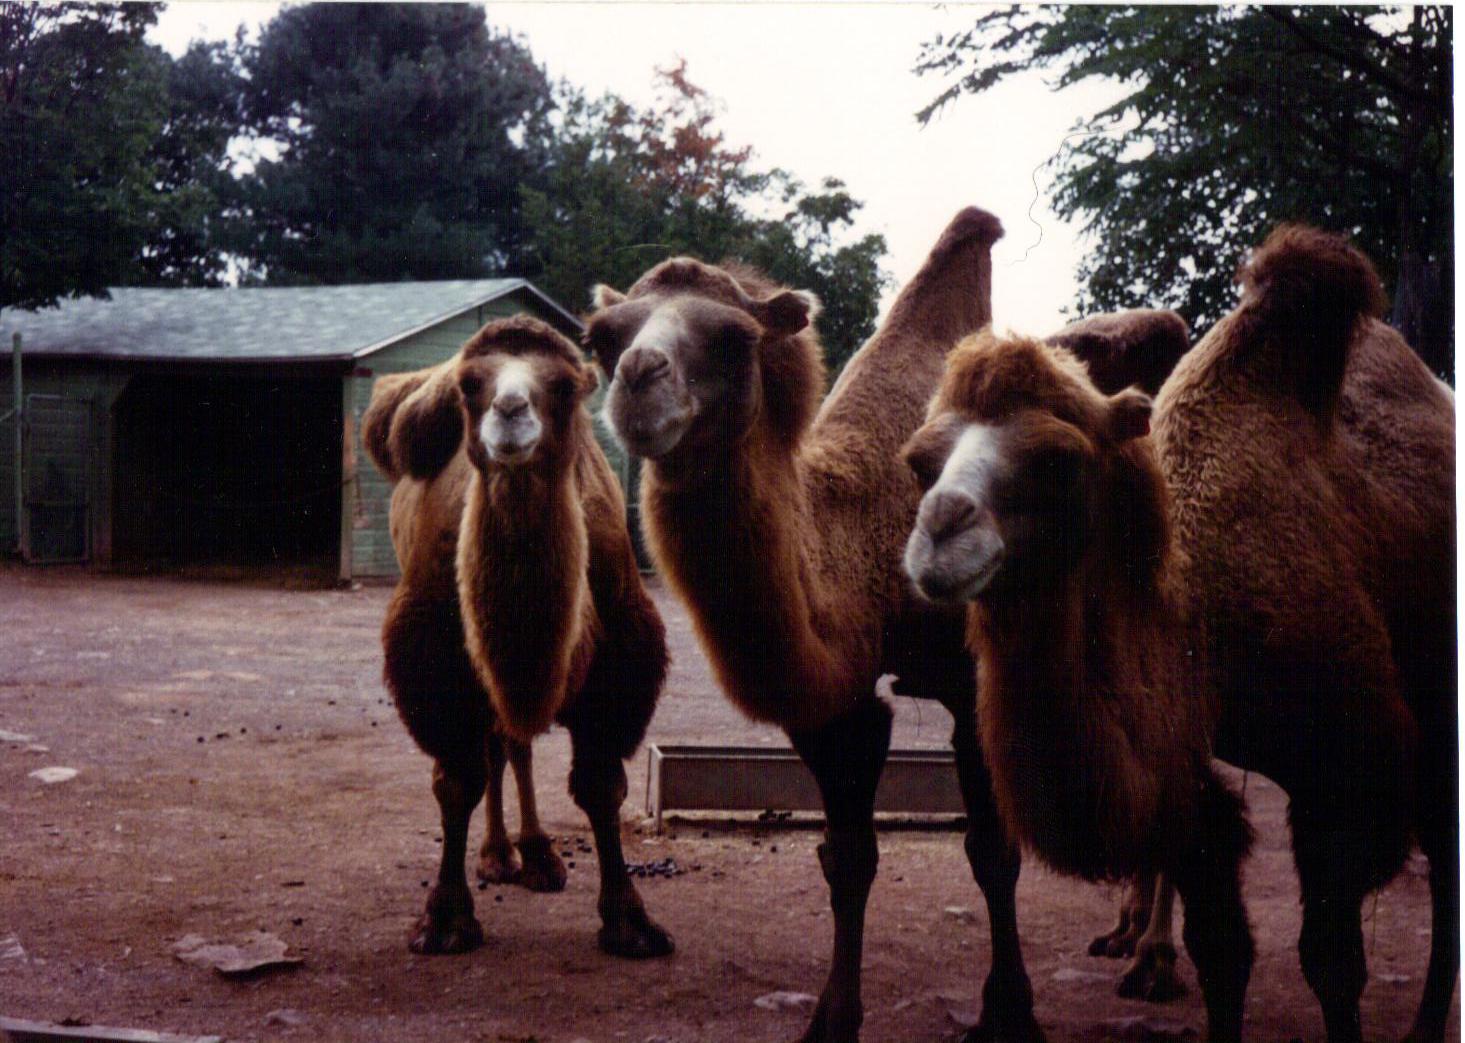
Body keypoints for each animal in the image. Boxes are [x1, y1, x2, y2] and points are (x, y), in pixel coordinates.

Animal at [361, 315, 672, 959]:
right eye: (470, 385)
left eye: (563, 386)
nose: (509, 408)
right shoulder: (434, 667)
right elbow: (457, 782)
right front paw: (446, 919)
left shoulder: (621, 667)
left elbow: (601, 785)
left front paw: (630, 921)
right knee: (497, 747)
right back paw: (500, 855)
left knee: (514, 743)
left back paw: (535, 856)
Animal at [585, 208, 1043, 1043]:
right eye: (602, 335)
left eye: (733, 337)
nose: (637, 379)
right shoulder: (831, 703)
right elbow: (847, 856)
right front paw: (832, 1020)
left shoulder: (970, 679)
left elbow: (991, 847)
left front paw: (1007, 1014)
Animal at [902, 225, 1457, 1042]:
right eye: (920, 462)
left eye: (1060, 460)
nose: (941, 534)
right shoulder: (1186, 790)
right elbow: (1223, 951)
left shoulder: (1348, 764)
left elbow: (1331, 963)